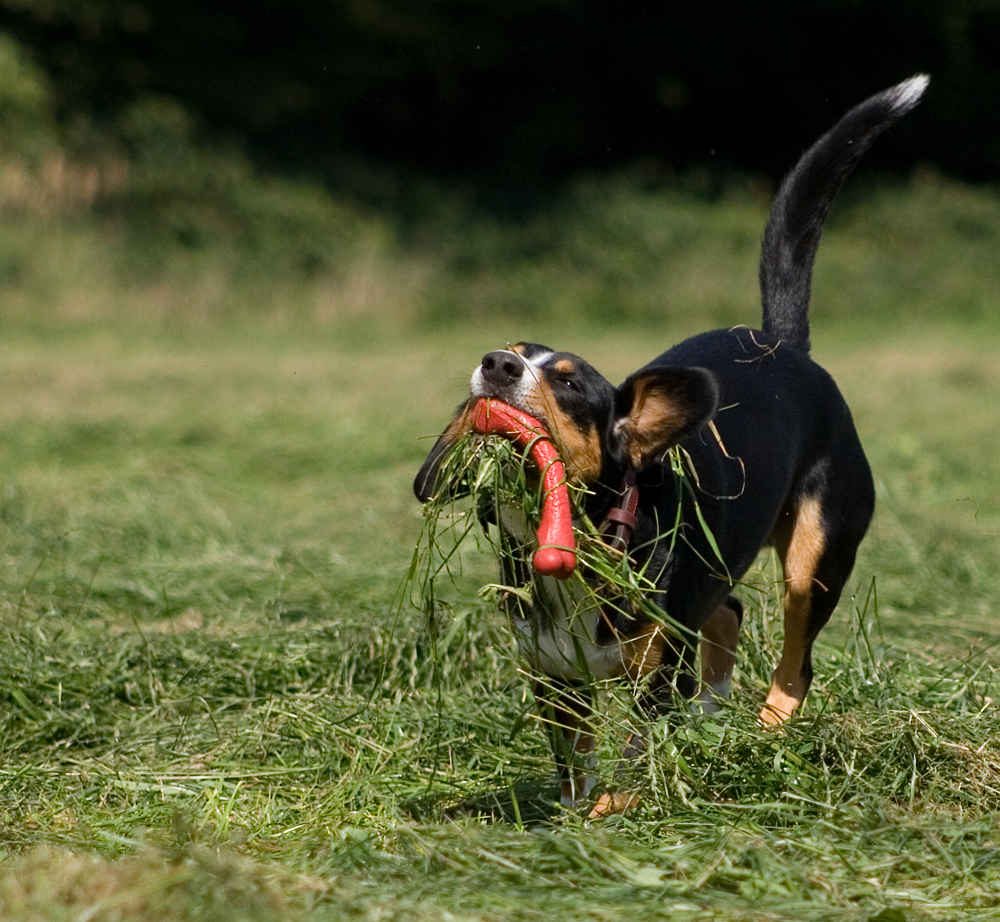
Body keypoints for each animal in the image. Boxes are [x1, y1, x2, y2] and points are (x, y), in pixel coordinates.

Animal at [410, 77, 924, 812]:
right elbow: (575, 764)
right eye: (513, 353)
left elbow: (632, 763)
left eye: (570, 384)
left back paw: (763, 736)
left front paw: (609, 816)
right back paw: (714, 713)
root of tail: (785, 346)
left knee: (795, 664)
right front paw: (573, 814)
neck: (590, 540)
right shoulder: (554, 678)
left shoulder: (657, 678)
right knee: (729, 610)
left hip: (816, 559)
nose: (496, 364)